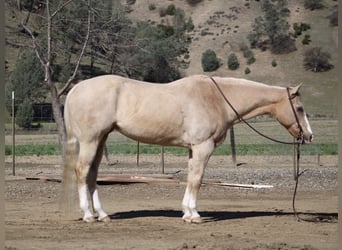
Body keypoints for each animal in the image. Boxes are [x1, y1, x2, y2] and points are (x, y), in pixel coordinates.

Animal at [61, 73, 312, 223]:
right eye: (300, 108)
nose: (309, 136)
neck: (216, 98)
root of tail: (76, 89)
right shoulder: (203, 146)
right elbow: (197, 179)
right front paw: (195, 215)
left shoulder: (193, 149)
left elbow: (191, 177)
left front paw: (186, 212)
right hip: (91, 141)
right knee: (82, 172)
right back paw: (88, 215)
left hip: (100, 140)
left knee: (92, 175)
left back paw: (102, 215)